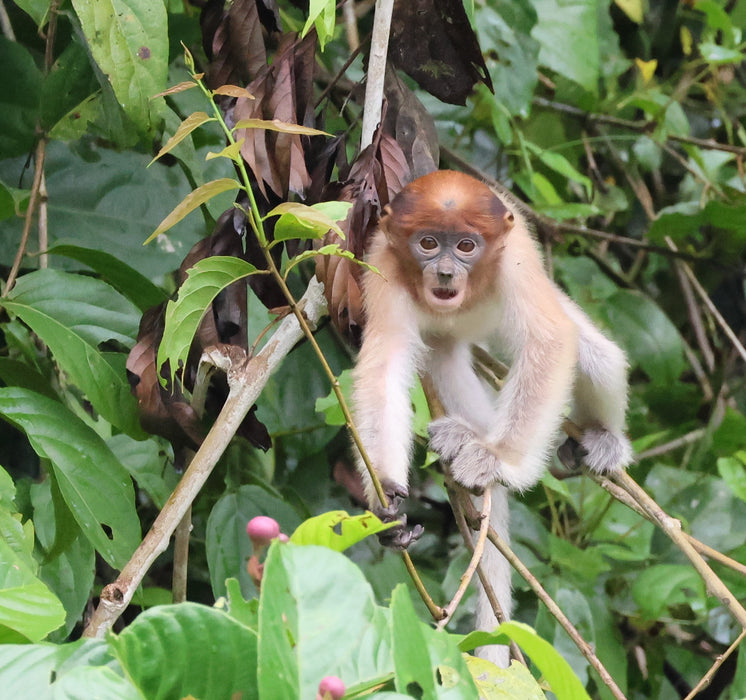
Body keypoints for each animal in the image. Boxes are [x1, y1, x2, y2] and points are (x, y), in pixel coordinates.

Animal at [352, 170, 632, 668]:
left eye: (466, 246)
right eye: (428, 243)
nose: (446, 273)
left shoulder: (514, 260)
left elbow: (550, 340)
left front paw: (498, 459)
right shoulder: (383, 264)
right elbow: (384, 367)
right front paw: (386, 493)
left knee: (595, 355)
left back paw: (599, 440)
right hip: (449, 342)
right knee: (442, 354)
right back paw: (461, 436)